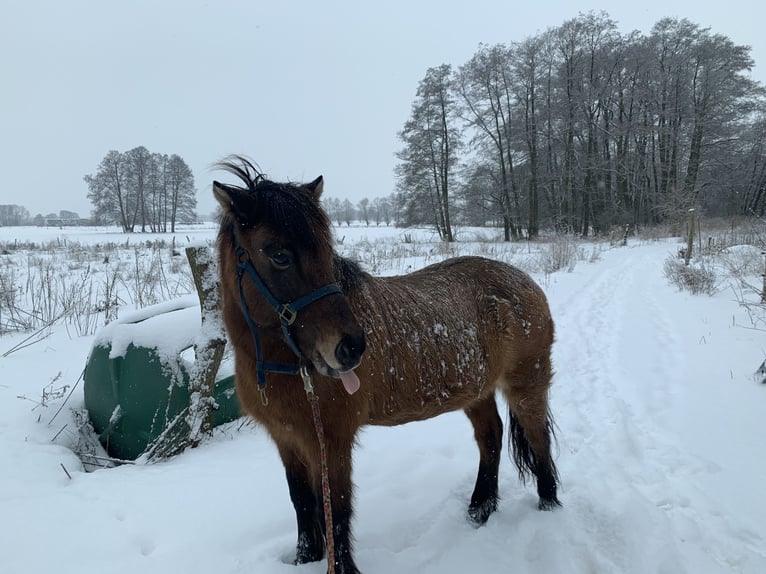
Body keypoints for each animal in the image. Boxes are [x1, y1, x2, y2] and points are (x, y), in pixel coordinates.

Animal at [213, 157, 560, 574]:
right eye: (278, 254)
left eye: (326, 251)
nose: (351, 347)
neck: (288, 366)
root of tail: (525, 282)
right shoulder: (287, 439)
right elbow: (302, 501)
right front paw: (305, 557)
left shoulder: (331, 440)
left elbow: (337, 510)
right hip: (477, 390)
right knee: (490, 437)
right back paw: (480, 508)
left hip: (526, 383)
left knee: (537, 438)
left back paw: (547, 506)